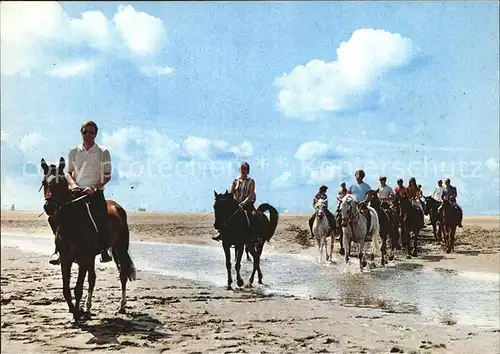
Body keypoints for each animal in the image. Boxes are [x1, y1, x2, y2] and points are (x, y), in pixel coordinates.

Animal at [40, 156, 136, 322]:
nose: (49, 207)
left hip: (119, 248)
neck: (72, 223)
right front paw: (75, 310)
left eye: (60, 182)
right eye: (44, 182)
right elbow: (66, 289)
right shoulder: (66, 259)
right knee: (93, 278)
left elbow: (78, 288)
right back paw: (88, 308)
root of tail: (117, 207)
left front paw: (76, 315)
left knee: (122, 274)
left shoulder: (83, 259)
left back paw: (121, 306)